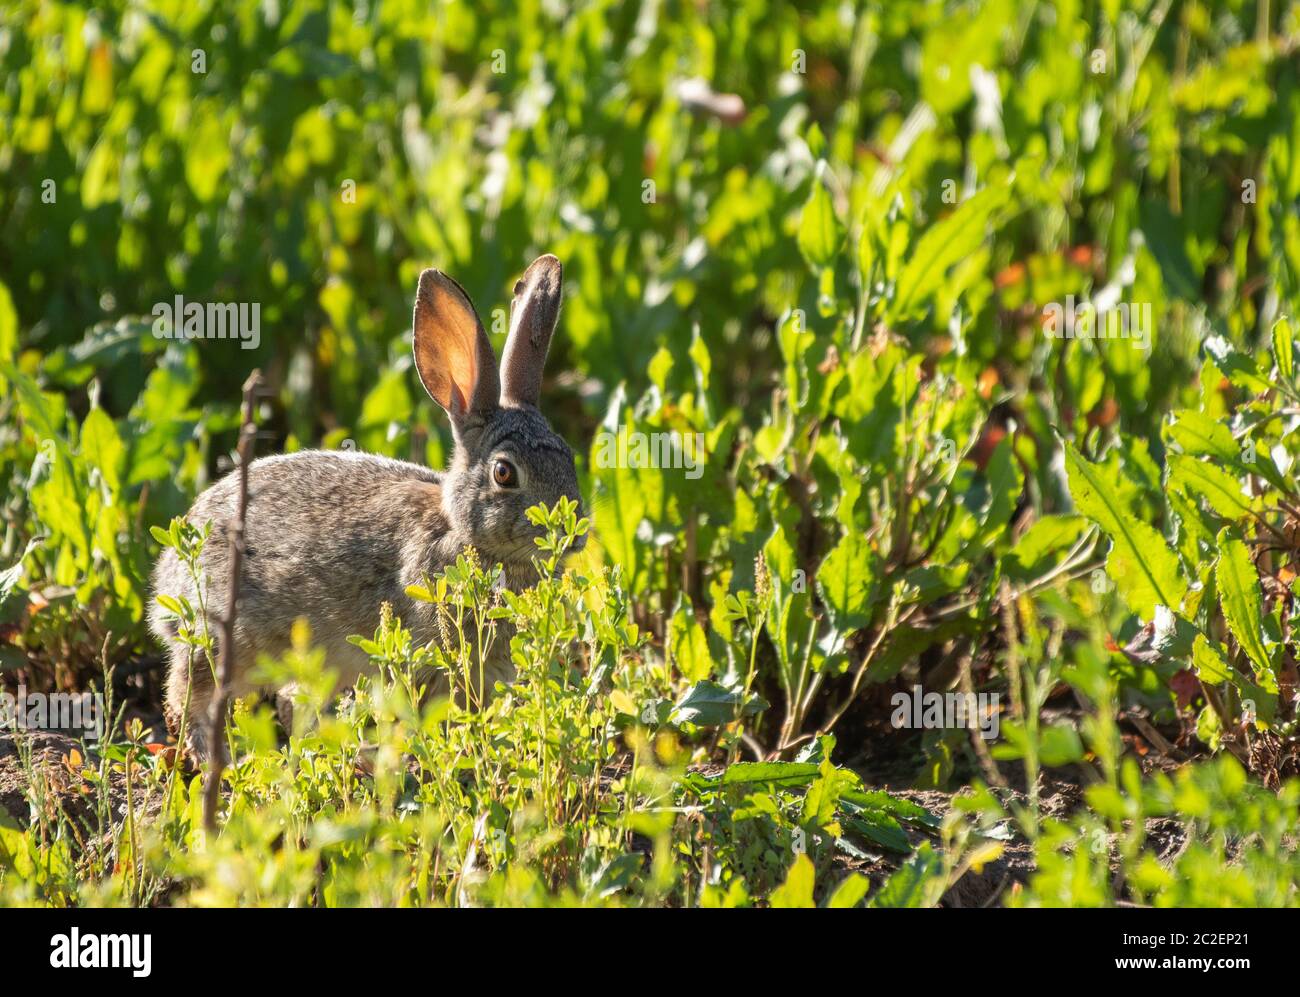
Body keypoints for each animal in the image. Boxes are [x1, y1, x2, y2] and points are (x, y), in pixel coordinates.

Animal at [146, 254, 585, 759]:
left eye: (569, 457)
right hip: (225, 640)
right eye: (504, 473)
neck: (462, 532)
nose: (575, 534)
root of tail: (168, 576)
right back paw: (212, 757)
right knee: (189, 693)